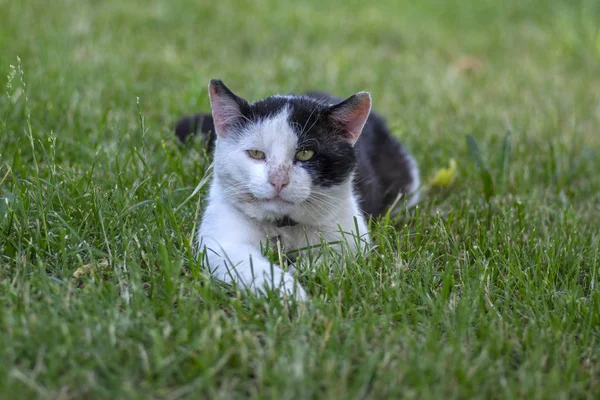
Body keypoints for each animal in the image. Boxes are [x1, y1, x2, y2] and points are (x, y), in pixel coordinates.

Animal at [176, 80, 420, 300]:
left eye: (305, 154)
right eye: (255, 154)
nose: (278, 180)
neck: (284, 227)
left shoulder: (353, 240)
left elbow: (332, 259)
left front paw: (302, 272)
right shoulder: (220, 241)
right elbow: (250, 265)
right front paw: (288, 294)